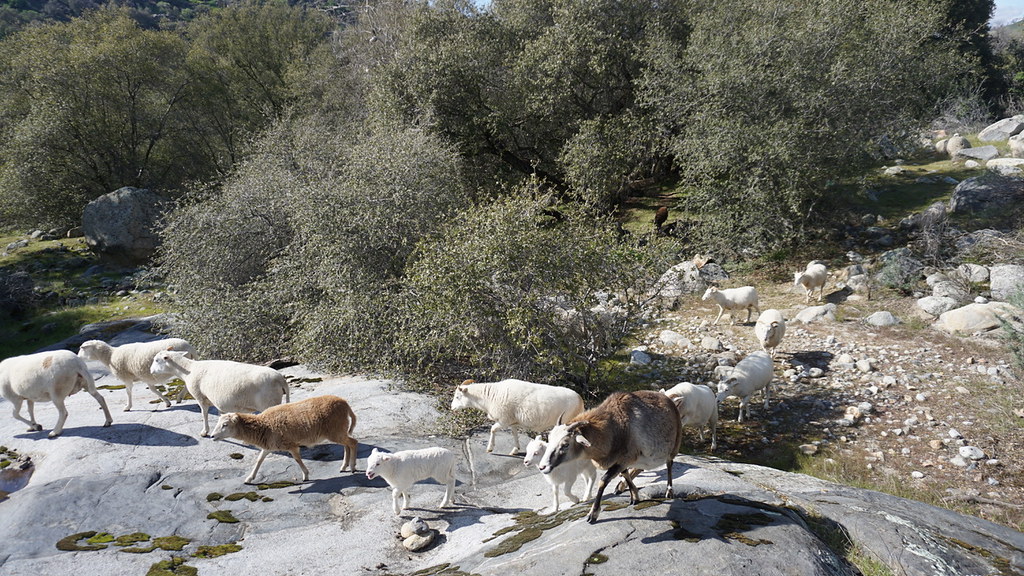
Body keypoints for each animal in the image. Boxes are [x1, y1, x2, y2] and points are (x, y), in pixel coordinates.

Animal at [150, 350, 289, 437]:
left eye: (156, 360)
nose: (151, 371)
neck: (188, 369)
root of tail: (280, 379)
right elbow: (220, 414)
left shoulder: (200, 397)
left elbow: (204, 414)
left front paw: (204, 432)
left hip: (268, 402)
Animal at [210, 395, 358, 483]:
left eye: (225, 425)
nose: (212, 436)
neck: (264, 425)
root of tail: (345, 403)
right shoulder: (268, 446)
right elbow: (259, 460)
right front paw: (249, 478)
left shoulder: (290, 445)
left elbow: (297, 459)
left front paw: (306, 475)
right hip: (339, 430)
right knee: (347, 444)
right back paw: (344, 466)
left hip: (335, 431)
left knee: (353, 442)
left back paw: (352, 466)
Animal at [450, 378, 584, 455]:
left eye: (457, 397)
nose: (452, 408)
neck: (490, 396)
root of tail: (579, 399)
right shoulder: (512, 422)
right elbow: (514, 434)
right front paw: (515, 450)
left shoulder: (503, 420)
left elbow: (492, 429)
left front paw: (490, 448)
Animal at [537, 390, 681, 524]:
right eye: (549, 439)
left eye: (565, 444)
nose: (542, 467)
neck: (614, 427)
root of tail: (667, 398)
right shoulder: (619, 461)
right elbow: (624, 474)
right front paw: (634, 496)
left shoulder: (626, 458)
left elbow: (603, 480)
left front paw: (593, 514)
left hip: (674, 445)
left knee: (669, 463)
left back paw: (669, 491)